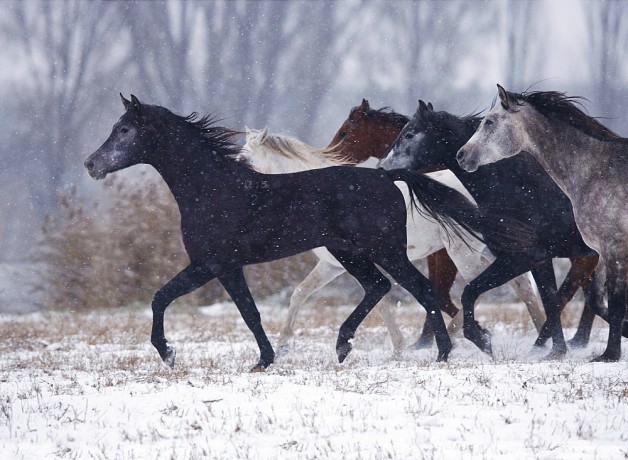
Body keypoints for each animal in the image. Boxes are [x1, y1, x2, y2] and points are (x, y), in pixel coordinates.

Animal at [240, 127, 544, 358]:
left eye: (244, 158)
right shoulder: (333, 266)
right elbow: (301, 293)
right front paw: (283, 346)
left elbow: (380, 298)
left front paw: (395, 348)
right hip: (481, 250)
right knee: (517, 284)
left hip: (461, 252)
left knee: (477, 287)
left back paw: (474, 337)